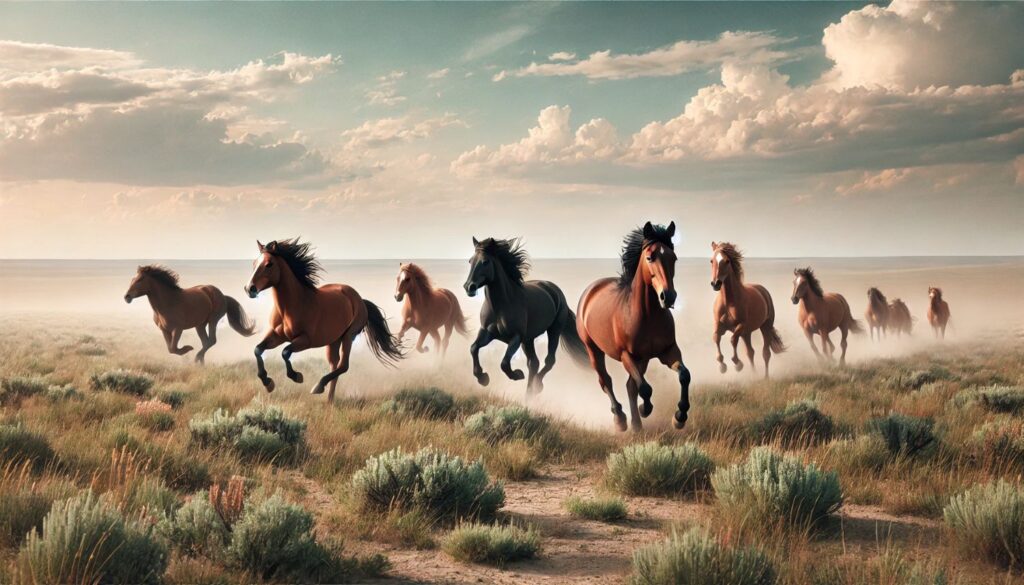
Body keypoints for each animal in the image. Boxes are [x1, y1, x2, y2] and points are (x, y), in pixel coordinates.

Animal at [125, 265, 256, 363]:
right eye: (132, 279)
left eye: (140, 279)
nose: (127, 297)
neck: (168, 303)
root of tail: (223, 295)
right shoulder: (164, 330)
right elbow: (170, 349)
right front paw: (186, 351)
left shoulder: (178, 329)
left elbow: (173, 348)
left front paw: (187, 349)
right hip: (200, 325)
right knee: (206, 342)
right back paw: (200, 363)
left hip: (213, 320)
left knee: (211, 341)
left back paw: (197, 358)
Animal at [245, 239, 404, 401]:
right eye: (254, 263)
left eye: (269, 264)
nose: (249, 289)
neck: (291, 307)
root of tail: (359, 299)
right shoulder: (277, 336)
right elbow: (258, 349)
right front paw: (268, 382)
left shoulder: (305, 340)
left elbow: (285, 352)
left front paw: (296, 376)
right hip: (333, 340)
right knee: (335, 365)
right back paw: (329, 399)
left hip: (348, 336)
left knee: (343, 366)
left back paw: (319, 387)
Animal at [463, 237, 588, 395]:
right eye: (470, 261)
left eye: (485, 262)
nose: (469, 287)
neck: (502, 305)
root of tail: (555, 290)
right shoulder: (487, 332)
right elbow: (473, 348)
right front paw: (483, 378)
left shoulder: (516, 337)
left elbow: (504, 363)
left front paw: (517, 374)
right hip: (528, 340)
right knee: (534, 363)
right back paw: (529, 395)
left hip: (553, 330)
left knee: (549, 360)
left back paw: (537, 386)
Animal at [577, 221, 692, 432]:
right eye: (650, 257)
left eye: (674, 258)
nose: (668, 297)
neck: (647, 316)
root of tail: (591, 289)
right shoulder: (626, 355)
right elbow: (645, 388)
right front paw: (645, 409)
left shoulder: (668, 351)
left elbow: (684, 376)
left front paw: (680, 417)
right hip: (594, 349)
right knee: (606, 381)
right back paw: (621, 419)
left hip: (643, 359)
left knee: (630, 385)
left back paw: (636, 424)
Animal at [709, 242, 785, 378]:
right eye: (711, 261)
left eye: (727, 261)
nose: (715, 284)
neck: (728, 302)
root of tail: (763, 290)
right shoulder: (719, 325)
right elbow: (716, 338)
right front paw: (722, 366)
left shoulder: (741, 326)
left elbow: (733, 340)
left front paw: (738, 364)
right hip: (747, 333)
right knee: (750, 352)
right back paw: (754, 375)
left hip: (765, 326)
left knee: (765, 353)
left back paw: (765, 377)